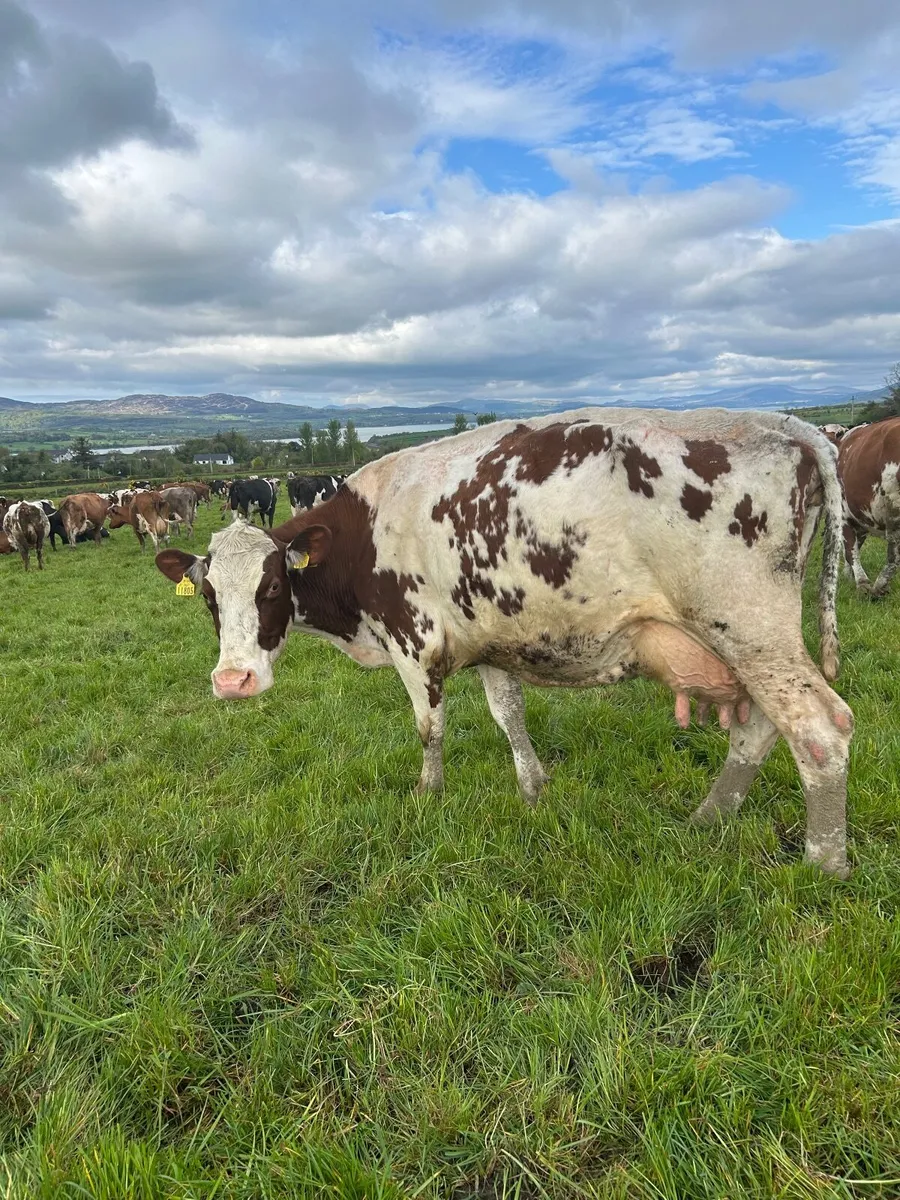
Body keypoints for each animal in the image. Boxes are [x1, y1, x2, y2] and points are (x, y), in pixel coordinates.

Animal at [156, 408, 853, 878]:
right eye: (210, 596)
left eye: (272, 585)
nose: (233, 681)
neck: (364, 533)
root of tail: (782, 423)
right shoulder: (492, 642)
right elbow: (508, 715)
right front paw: (532, 786)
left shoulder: (416, 643)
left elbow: (429, 727)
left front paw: (428, 794)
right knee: (760, 730)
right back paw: (710, 818)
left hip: (751, 630)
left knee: (818, 728)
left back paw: (824, 862)